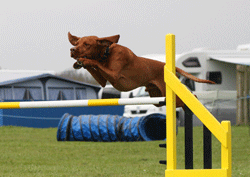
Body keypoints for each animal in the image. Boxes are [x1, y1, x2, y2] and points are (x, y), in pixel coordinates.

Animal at [68, 32, 215, 108]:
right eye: (77, 43)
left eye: (87, 44)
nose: (72, 50)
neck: (107, 53)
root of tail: (168, 67)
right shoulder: (103, 81)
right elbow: (95, 68)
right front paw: (79, 63)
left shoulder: (114, 75)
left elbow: (94, 62)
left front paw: (84, 60)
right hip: (157, 98)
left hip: (168, 96)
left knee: (193, 96)